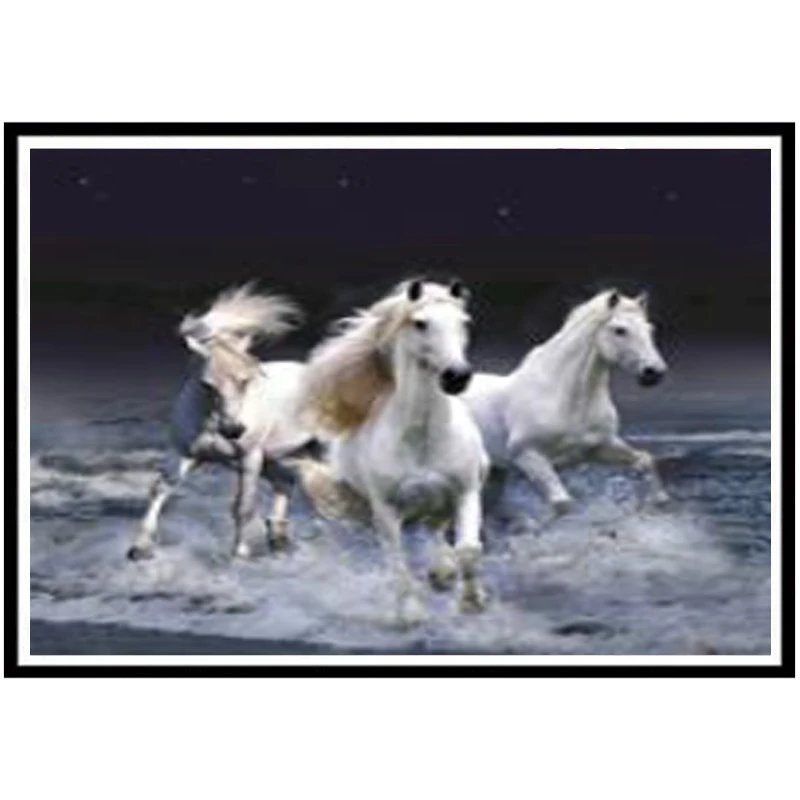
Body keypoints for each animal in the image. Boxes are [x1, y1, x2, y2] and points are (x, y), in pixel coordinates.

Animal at [127, 284, 317, 562]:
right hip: (276, 456)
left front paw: (240, 554)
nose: (233, 430)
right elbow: (159, 489)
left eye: (245, 381)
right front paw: (140, 548)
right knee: (285, 482)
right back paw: (278, 540)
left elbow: (243, 506)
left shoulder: (250, 458)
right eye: (207, 384)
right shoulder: (184, 453)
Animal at [294, 279, 490, 620]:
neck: (422, 440)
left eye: (464, 323)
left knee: (435, 530)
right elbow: (398, 561)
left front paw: (471, 602)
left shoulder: (466, 491)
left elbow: (468, 549)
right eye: (421, 323)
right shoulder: (385, 509)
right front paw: (409, 615)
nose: (457, 377)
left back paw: (442, 572)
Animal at [462, 289, 669, 520]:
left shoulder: (599, 447)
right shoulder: (528, 456)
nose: (654, 372)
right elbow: (563, 504)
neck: (565, 400)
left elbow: (645, 460)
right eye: (620, 330)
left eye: (650, 329)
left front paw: (658, 502)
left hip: (495, 473)